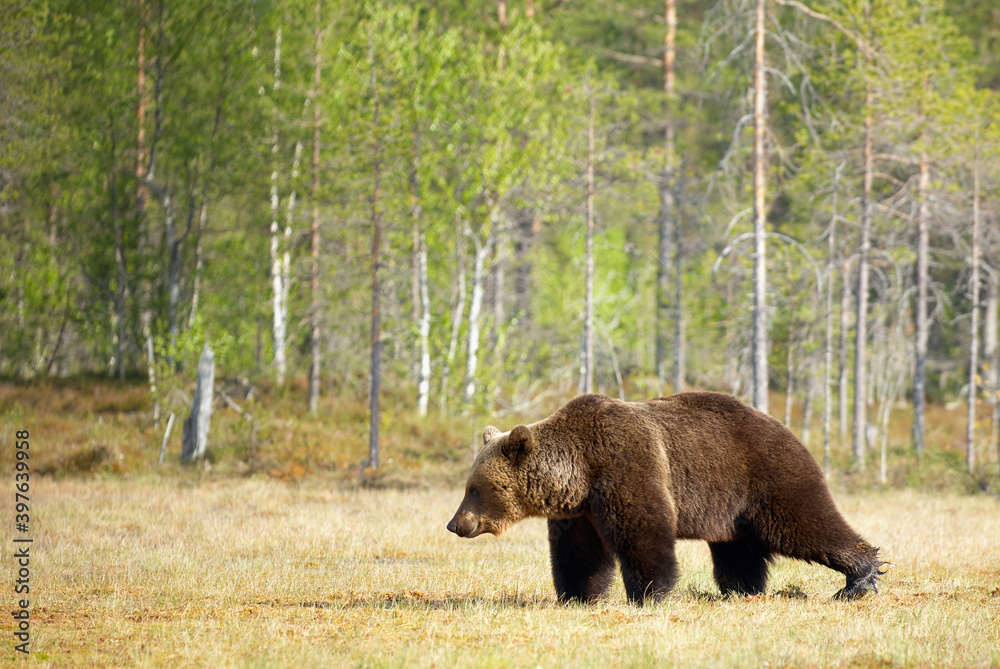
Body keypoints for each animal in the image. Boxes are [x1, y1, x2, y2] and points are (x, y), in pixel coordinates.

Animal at [446, 392, 886, 605]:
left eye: (475, 488)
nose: (455, 523)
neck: (580, 469)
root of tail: (785, 427)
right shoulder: (582, 510)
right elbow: (581, 553)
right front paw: (578, 595)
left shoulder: (627, 465)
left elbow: (643, 532)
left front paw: (647, 594)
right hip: (731, 509)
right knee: (737, 552)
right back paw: (741, 590)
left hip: (765, 478)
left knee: (806, 523)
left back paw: (859, 577)